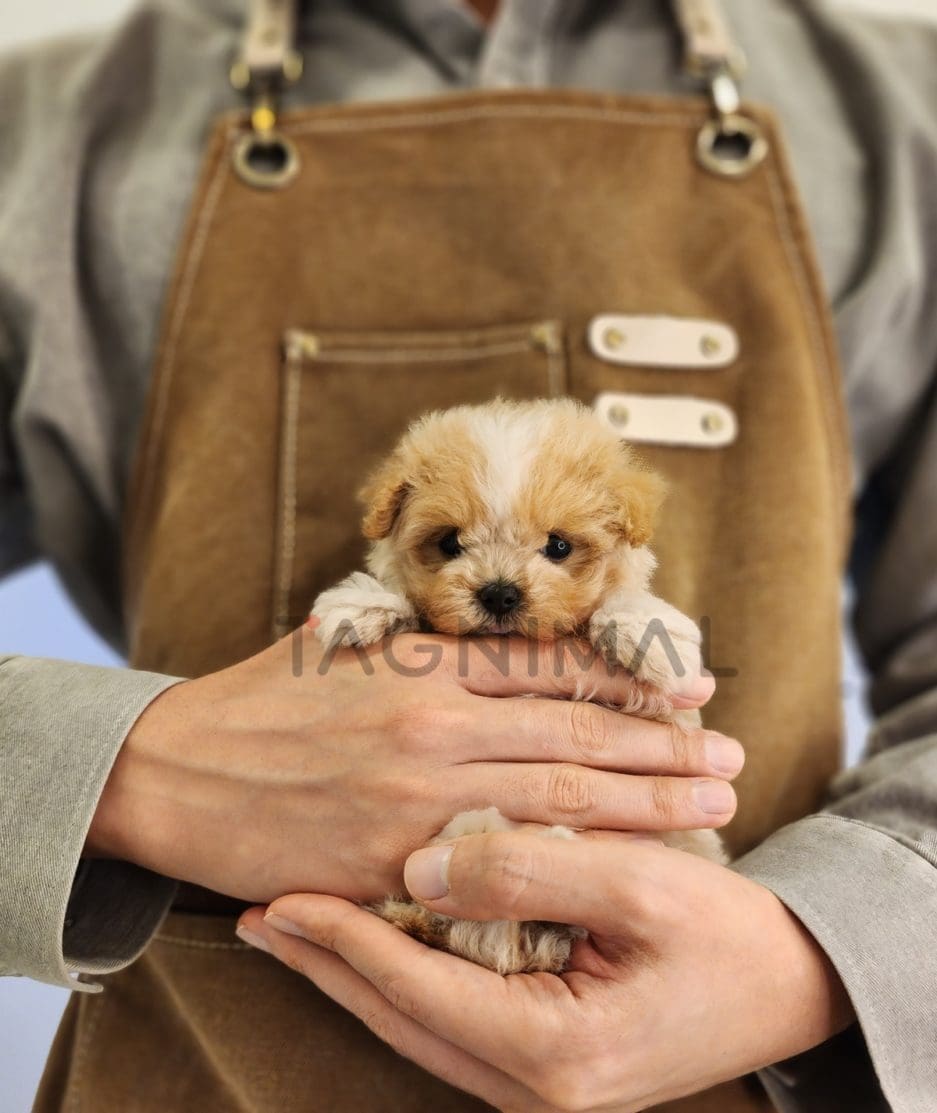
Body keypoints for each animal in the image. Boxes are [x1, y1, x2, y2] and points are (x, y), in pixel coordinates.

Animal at [309, 400, 725, 974]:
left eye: (558, 546)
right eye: (449, 542)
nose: (500, 593)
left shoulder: (667, 720)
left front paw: (643, 628)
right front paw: (366, 604)